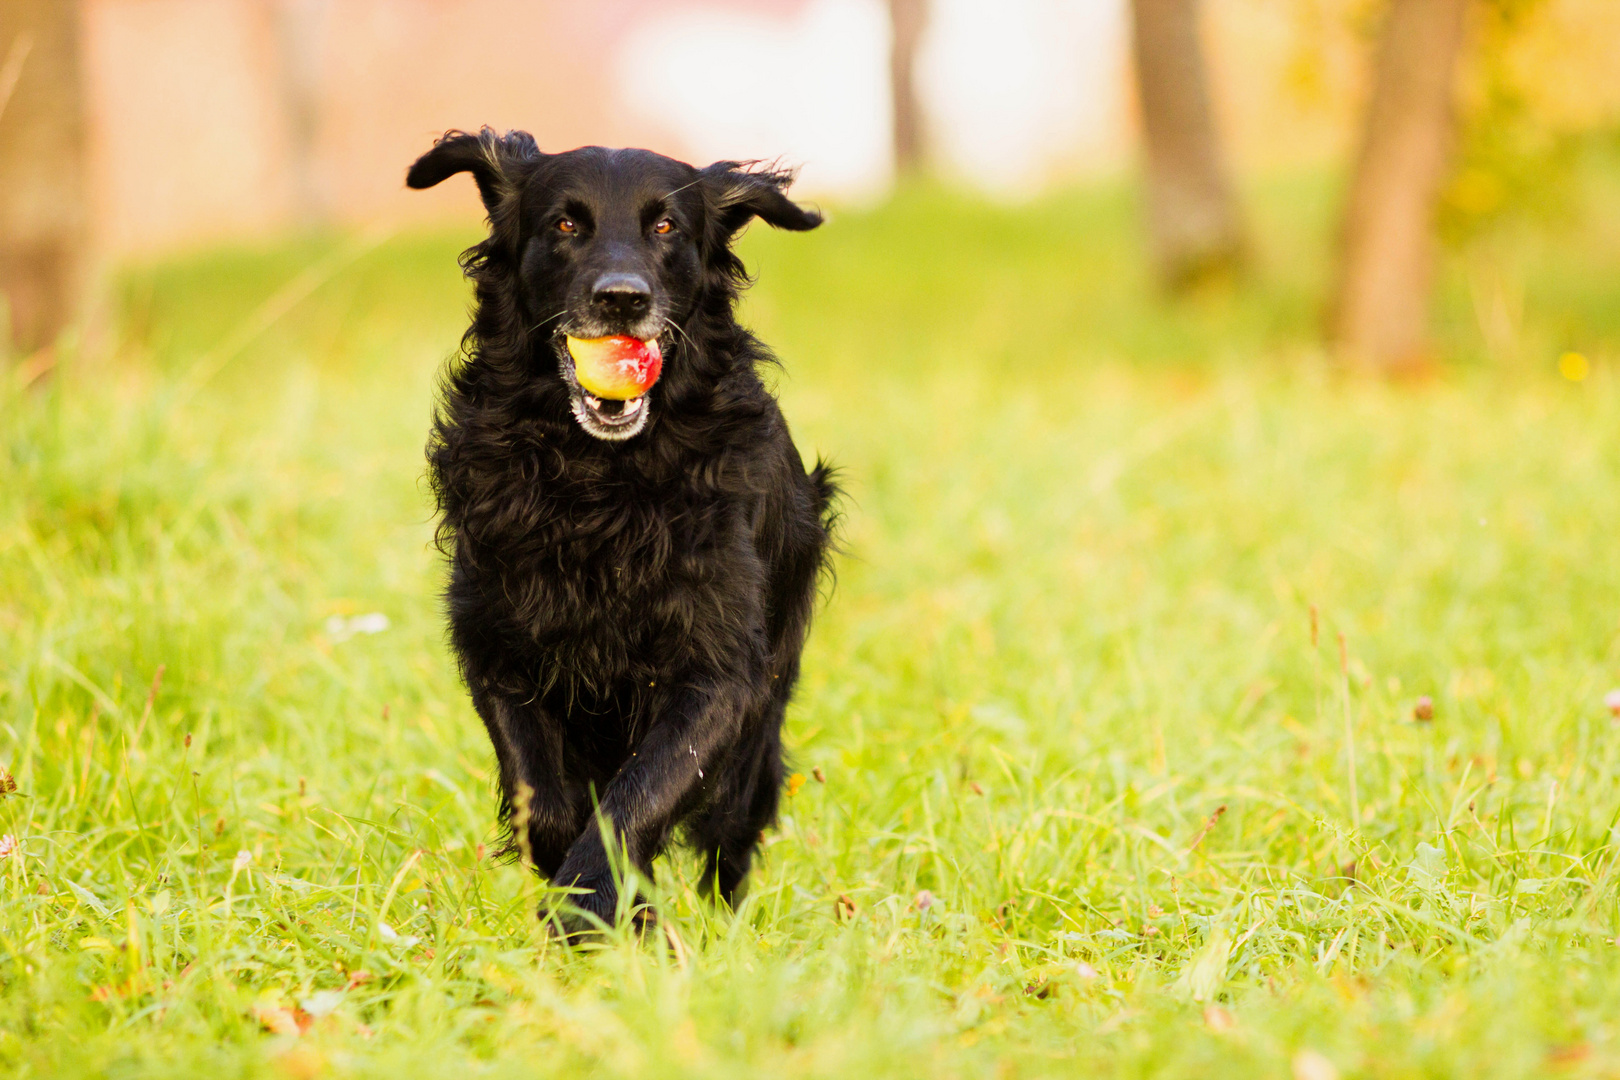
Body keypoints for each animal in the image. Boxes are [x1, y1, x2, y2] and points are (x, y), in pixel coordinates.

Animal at [408, 131, 835, 932]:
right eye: (565, 225)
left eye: (665, 226)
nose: (621, 298)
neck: (599, 478)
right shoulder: (497, 647)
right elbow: (546, 805)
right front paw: (589, 900)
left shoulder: (719, 673)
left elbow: (634, 802)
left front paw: (594, 913)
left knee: (730, 840)